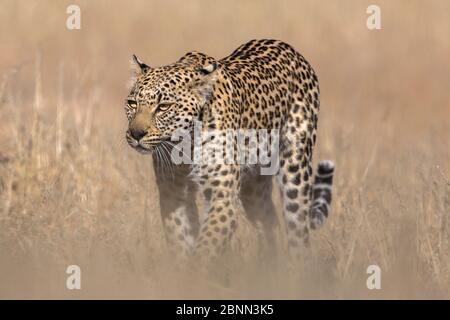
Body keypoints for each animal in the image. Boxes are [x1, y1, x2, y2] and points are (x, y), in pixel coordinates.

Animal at [123, 39, 334, 264]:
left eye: (163, 106)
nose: (136, 133)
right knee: (270, 225)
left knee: (298, 232)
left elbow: (205, 247)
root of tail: (289, 48)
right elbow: (181, 241)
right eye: (132, 103)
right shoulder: (173, 193)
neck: (186, 143)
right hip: (253, 190)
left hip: (296, 171)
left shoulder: (222, 197)